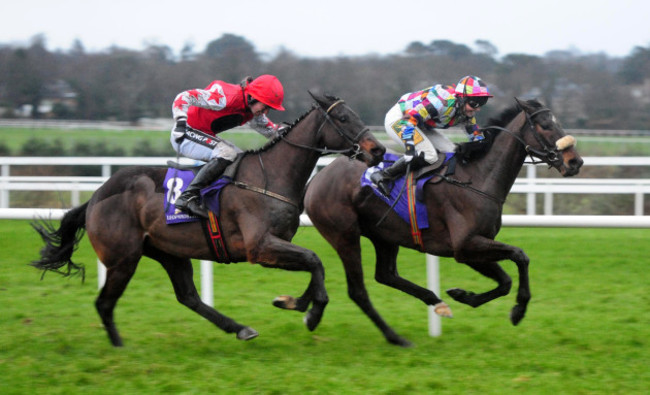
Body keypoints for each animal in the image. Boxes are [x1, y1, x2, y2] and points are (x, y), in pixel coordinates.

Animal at [31, 93, 384, 346]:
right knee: (105, 303)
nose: (377, 150)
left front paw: (295, 302)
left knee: (188, 297)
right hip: (123, 258)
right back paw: (119, 346)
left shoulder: (279, 243)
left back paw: (239, 328)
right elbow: (314, 261)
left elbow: (314, 265)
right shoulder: (259, 248)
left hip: (169, 252)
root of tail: (96, 197)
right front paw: (310, 312)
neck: (269, 177)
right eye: (343, 118)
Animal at [304, 98, 584, 346]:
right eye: (545, 125)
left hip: (384, 235)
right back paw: (390, 335)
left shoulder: (474, 247)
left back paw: (436, 302)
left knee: (386, 275)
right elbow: (520, 256)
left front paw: (463, 295)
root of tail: (317, 178)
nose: (575, 161)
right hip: (345, 236)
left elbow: (505, 281)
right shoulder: (465, 246)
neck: (477, 179)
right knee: (358, 289)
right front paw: (518, 310)